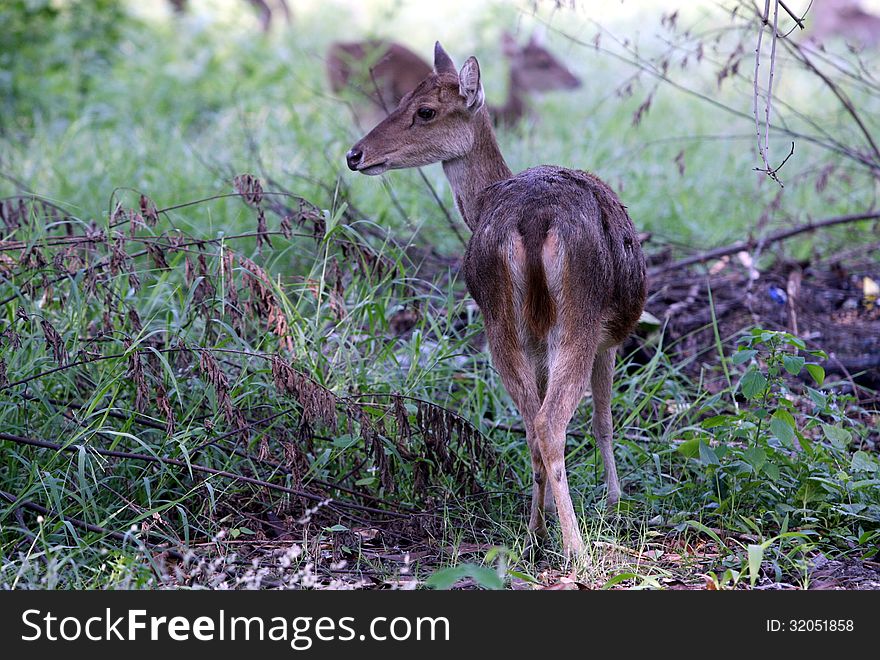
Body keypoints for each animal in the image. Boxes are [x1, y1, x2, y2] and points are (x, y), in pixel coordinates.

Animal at [344, 42, 648, 556]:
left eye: (423, 109)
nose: (355, 154)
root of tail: (533, 221)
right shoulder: (611, 339)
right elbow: (604, 422)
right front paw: (614, 501)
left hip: (500, 320)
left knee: (530, 424)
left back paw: (534, 532)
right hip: (580, 319)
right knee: (550, 423)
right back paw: (575, 547)